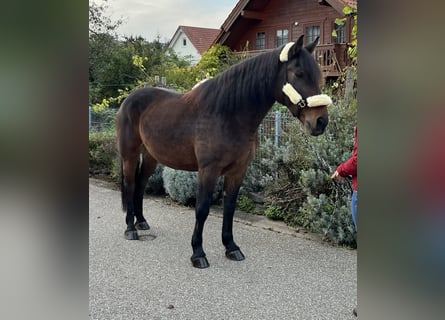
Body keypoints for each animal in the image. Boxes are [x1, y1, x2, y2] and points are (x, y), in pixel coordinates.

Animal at [115, 35, 330, 268]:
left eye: (319, 75)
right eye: (298, 73)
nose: (320, 122)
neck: (227, 114)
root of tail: (129, 99)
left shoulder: (238, 171)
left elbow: (230, 208)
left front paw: (231, 247)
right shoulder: (208, 170)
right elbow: (202, 209)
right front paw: (198, 253)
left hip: (151, 157)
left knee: (140, 185)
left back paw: (141, 222)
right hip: (130, 155)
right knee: (130, 185)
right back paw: (131, 229)